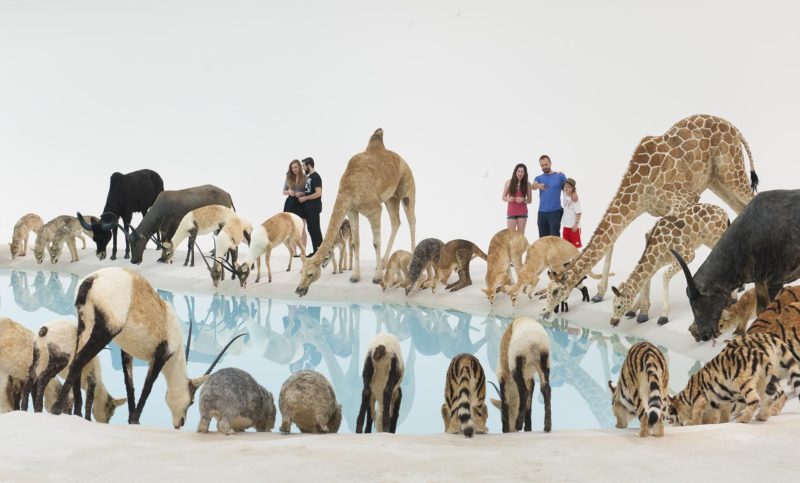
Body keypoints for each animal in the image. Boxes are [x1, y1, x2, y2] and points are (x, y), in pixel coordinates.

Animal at [296, 126, 418, 296]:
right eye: (301, 272)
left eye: (310, 274)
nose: (299, 290)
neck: (349, 189)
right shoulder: (352, 211)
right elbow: (356, 243)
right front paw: (355, 276)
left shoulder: (374, 210)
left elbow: (375, 242)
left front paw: (377, 278)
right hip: (391, 198)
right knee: (396, 222)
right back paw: (382, 262)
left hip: (407, 190)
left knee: (411, 219)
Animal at [544, 114, 756, 318]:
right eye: (546, 292)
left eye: (554, 291)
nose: (545, 312)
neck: (639, 183)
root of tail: (735, 129)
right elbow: (618, 240)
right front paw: (606, 295)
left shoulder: (685, 198)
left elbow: (651, 239)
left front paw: (641, 309)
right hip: (716, 180)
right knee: (740, 209)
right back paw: (742, 284)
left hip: (731, 170)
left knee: (752, 199)